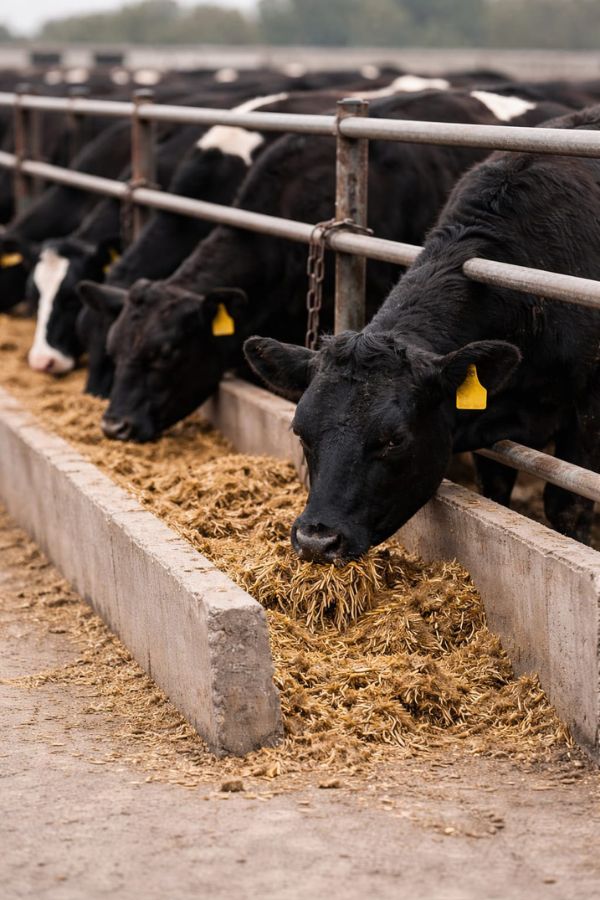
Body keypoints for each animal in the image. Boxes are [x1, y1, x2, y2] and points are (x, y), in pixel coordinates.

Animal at [243, 105, 600, 562]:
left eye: (393, 440)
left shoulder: (589, 412)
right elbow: (496, 487)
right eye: (300, 431)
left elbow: (567, 508)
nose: (316, 540)